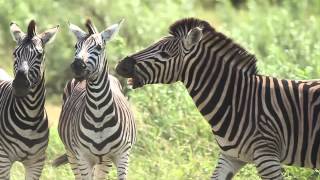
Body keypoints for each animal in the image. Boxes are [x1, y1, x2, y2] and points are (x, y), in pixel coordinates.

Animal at [0, 20, 58, 179]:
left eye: (39, 55)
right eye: (14, 53)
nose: (20, 85)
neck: (29, 118)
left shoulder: (36, 163)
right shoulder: (3, 159)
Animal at [53, 19, 136, 179]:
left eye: (98, 47)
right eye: (76, 46)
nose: (77, 66)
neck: (99, 115)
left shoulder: (123, 155)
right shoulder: (82, 157)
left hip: (104, 161)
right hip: (71, 154)